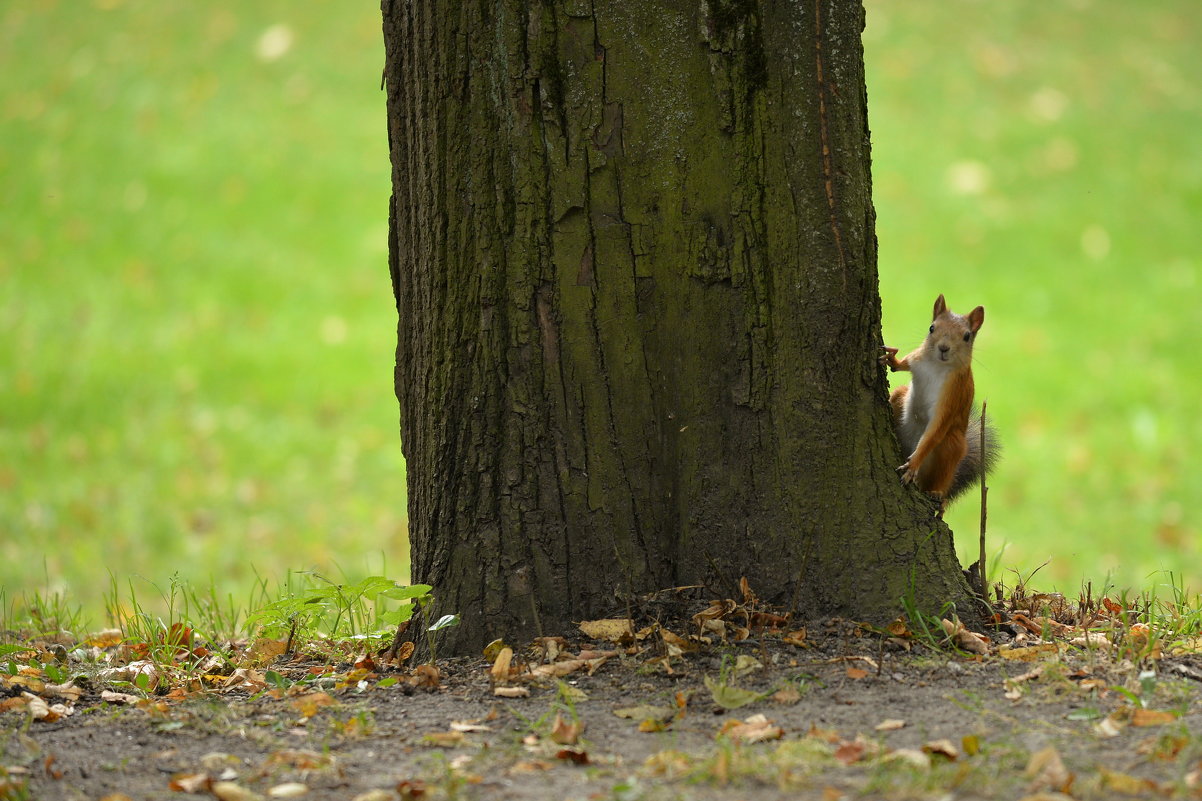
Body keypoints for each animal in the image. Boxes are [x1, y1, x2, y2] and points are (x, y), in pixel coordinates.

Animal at [879, 293, 1000, 505]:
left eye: (967, 336)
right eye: (932, 328)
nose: (943, 348)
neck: (936, 365)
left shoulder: (952, 395)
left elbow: (934, 432)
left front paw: (913, 465)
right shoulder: (916, 359)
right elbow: (901, 365)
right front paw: (892, 359)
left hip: (950, 447)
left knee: (940, 478)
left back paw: (937, 494)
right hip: (900, 396)